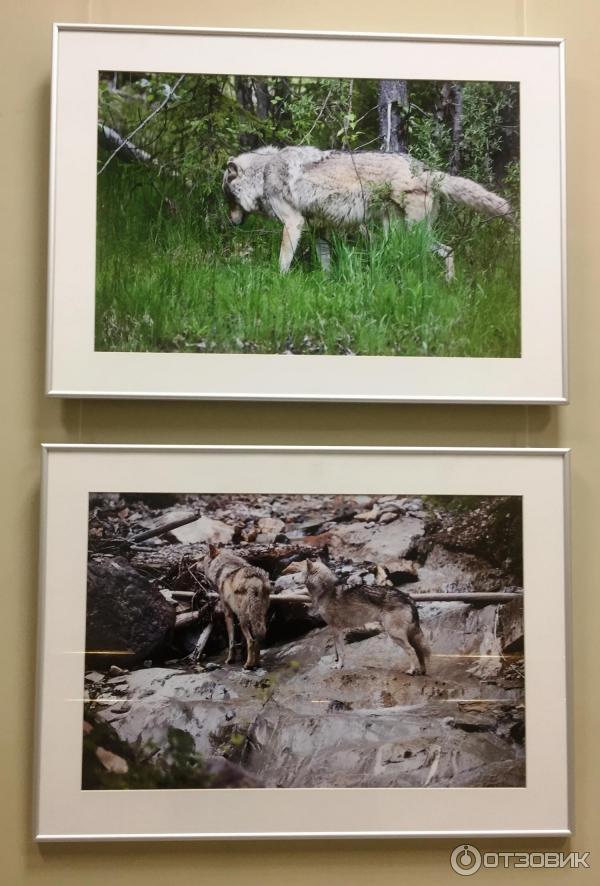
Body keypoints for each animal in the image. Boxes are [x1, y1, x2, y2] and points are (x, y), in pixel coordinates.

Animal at [221, 145, 510, 280]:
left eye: (227, 199)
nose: (231, 223)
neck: (263, 173)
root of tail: (425, 169)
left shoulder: (293, 223)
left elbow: (282, 262)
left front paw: (279, 281)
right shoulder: (319, 229)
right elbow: (325, 261)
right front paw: (327, 282)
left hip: (412, 235)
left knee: (445, 251)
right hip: (395, 234)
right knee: (446, 251)